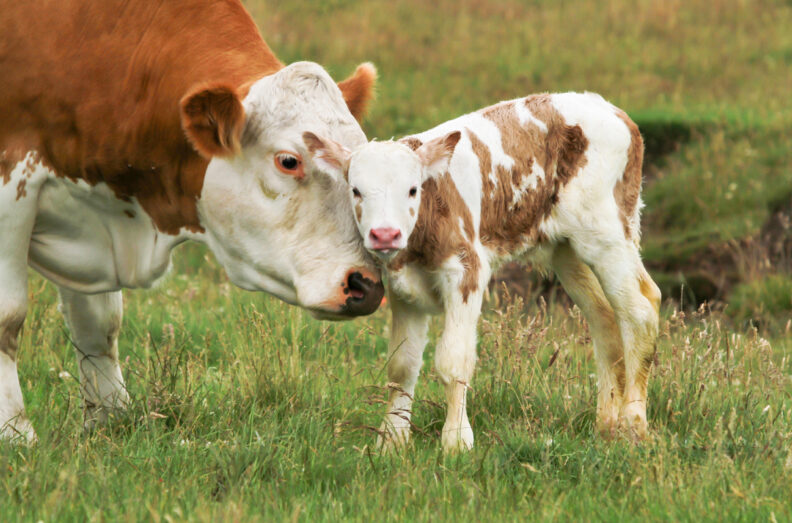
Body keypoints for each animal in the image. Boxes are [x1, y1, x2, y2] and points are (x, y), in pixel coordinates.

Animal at [0, 0, 385, 442]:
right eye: (289, 160)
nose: (366, 286)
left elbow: (98, 324)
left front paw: (110, 419)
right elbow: (8, 318)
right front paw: (14, 432)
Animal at [303, 92, 662, 452]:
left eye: (413, 189)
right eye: (355, 190)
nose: (385, 234)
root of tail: (608, 108)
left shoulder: (467, 271)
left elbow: (453, 360)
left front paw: (456, 441)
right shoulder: (402, 288)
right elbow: (401, 365)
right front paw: (391, 440)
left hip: (606, 231)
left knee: (640, 309)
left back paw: (633, 425)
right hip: (567, 249)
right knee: (604, 317)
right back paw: (606, 425)